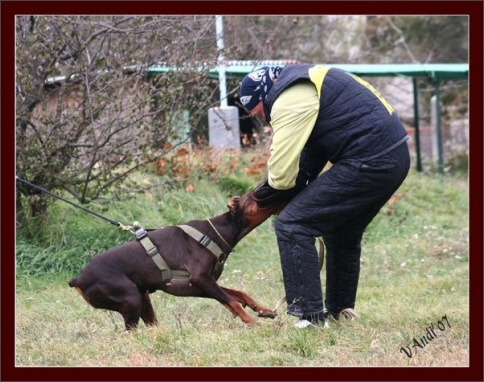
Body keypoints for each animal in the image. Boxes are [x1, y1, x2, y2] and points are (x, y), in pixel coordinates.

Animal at [68, 188, 288, 328]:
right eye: (254, 193)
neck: (218, 232)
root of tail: (78, 279)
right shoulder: (200, 279)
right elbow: (231, 301)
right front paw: (253, 322)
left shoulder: (199, 285)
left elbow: (240, 294)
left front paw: (264, 310)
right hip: (130, 298)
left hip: (142, 297)